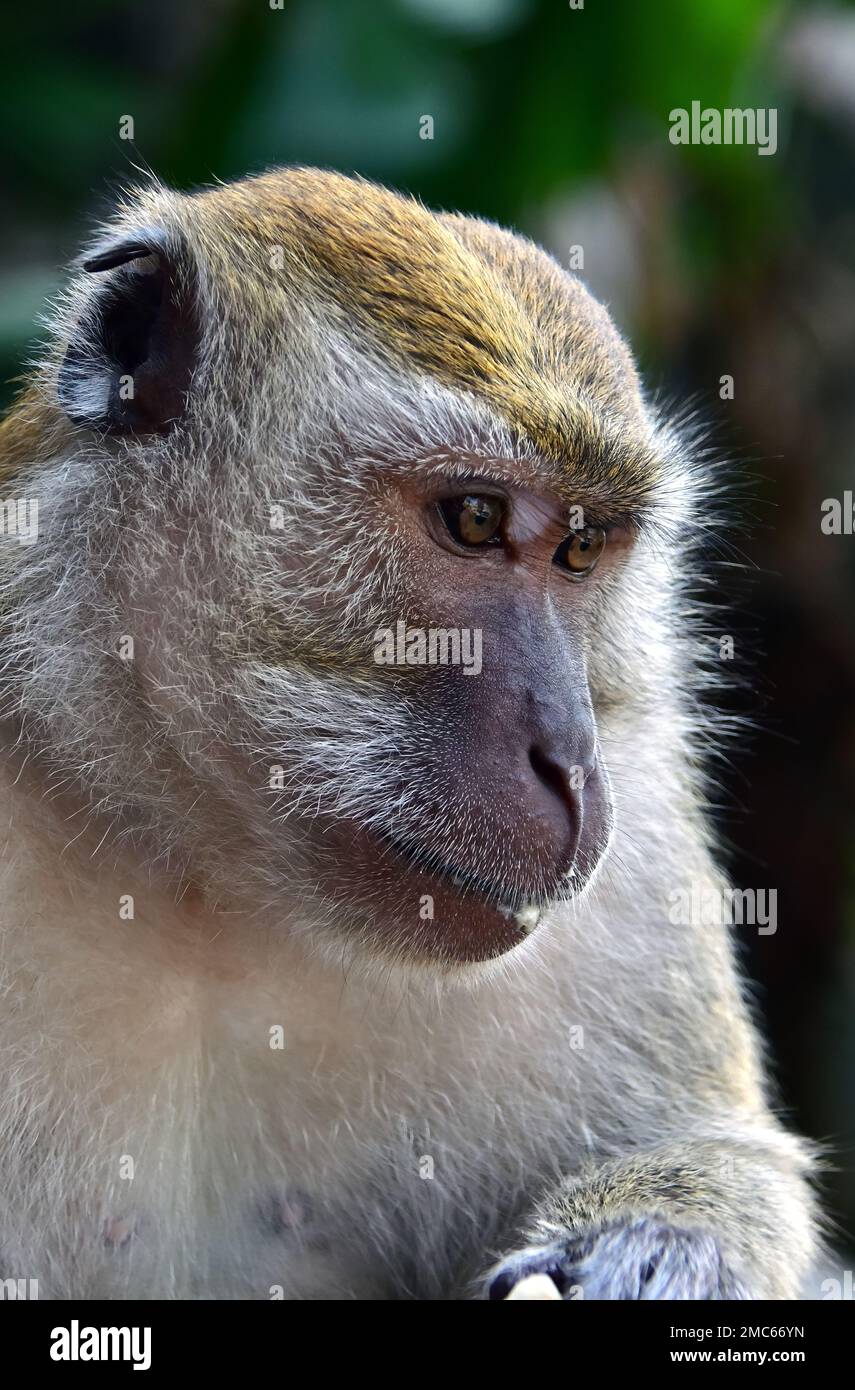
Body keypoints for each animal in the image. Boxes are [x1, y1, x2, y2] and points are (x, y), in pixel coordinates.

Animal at [0, 167, 818, 1300]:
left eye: (580, 549)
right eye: (474, 519)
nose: (571, 765)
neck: (209, 880)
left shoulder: (645, 822)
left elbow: (735, 1154)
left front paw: (649, 1246)